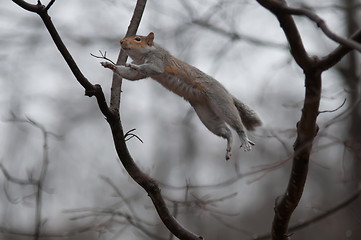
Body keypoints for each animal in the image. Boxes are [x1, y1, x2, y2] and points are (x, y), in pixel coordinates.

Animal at [100, 31, 260, 159]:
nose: (121, 41)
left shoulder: (159, 60)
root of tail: (227, 92)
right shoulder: (140, 74)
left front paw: (131, 65)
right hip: (206, 114)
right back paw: (229, 144)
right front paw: (111, 66)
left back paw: (243, 139)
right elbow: (131, 75)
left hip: (221, 101)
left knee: (236, 123)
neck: (146, 53)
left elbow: (151, 68)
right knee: (226, 131)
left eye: (138, 39)